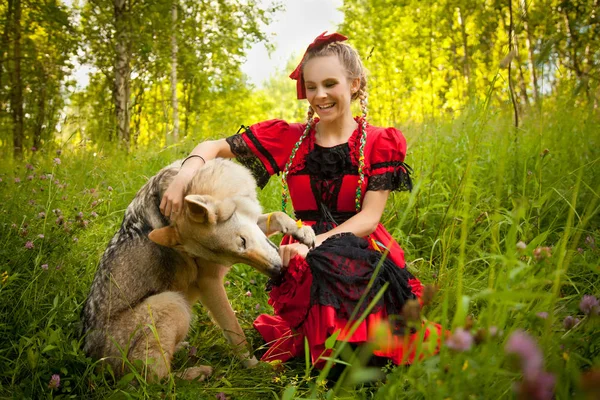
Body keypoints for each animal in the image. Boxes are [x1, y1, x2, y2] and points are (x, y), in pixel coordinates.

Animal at [82, 159, 316, 382]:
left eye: (240, 245)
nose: (279, 273)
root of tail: (92, 363)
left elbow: (275, 216)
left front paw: (301, 230)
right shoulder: (209, 282)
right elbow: (236, 333)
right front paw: (256, 369)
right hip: (173, 303)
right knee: (156, 380)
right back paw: (197, 373)